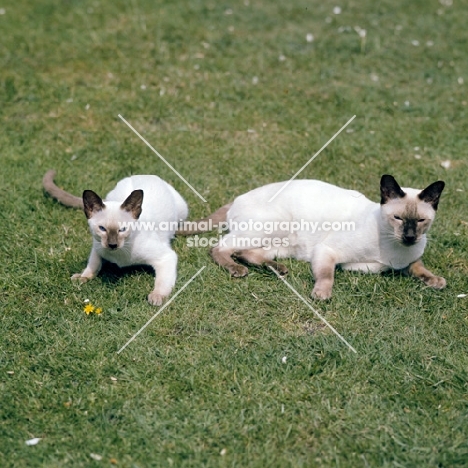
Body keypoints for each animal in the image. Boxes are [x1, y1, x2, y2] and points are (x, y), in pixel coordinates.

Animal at [42, 170, 188, 306]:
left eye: (122, 229)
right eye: (102, 229)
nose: (112, 245)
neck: (119, 255)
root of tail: (145, 174)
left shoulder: (166, 257)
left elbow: (162, 282)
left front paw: (156, 297)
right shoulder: (97, 246)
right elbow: (93, 265)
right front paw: (82, 278)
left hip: (183, 211)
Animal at [179, 176, 446, 300]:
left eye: (421, 221)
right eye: (398, 218)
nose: (410, 237)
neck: (394, 249)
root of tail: (236, 198)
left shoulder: (397, 264)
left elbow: (419, 269)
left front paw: (436, 281)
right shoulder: (328, 252)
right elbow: (327, 276)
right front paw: (321, 295)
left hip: (283, 243)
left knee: (246, 252)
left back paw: (276, 269)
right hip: (273, 227)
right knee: (220, 248)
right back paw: (237, 270)